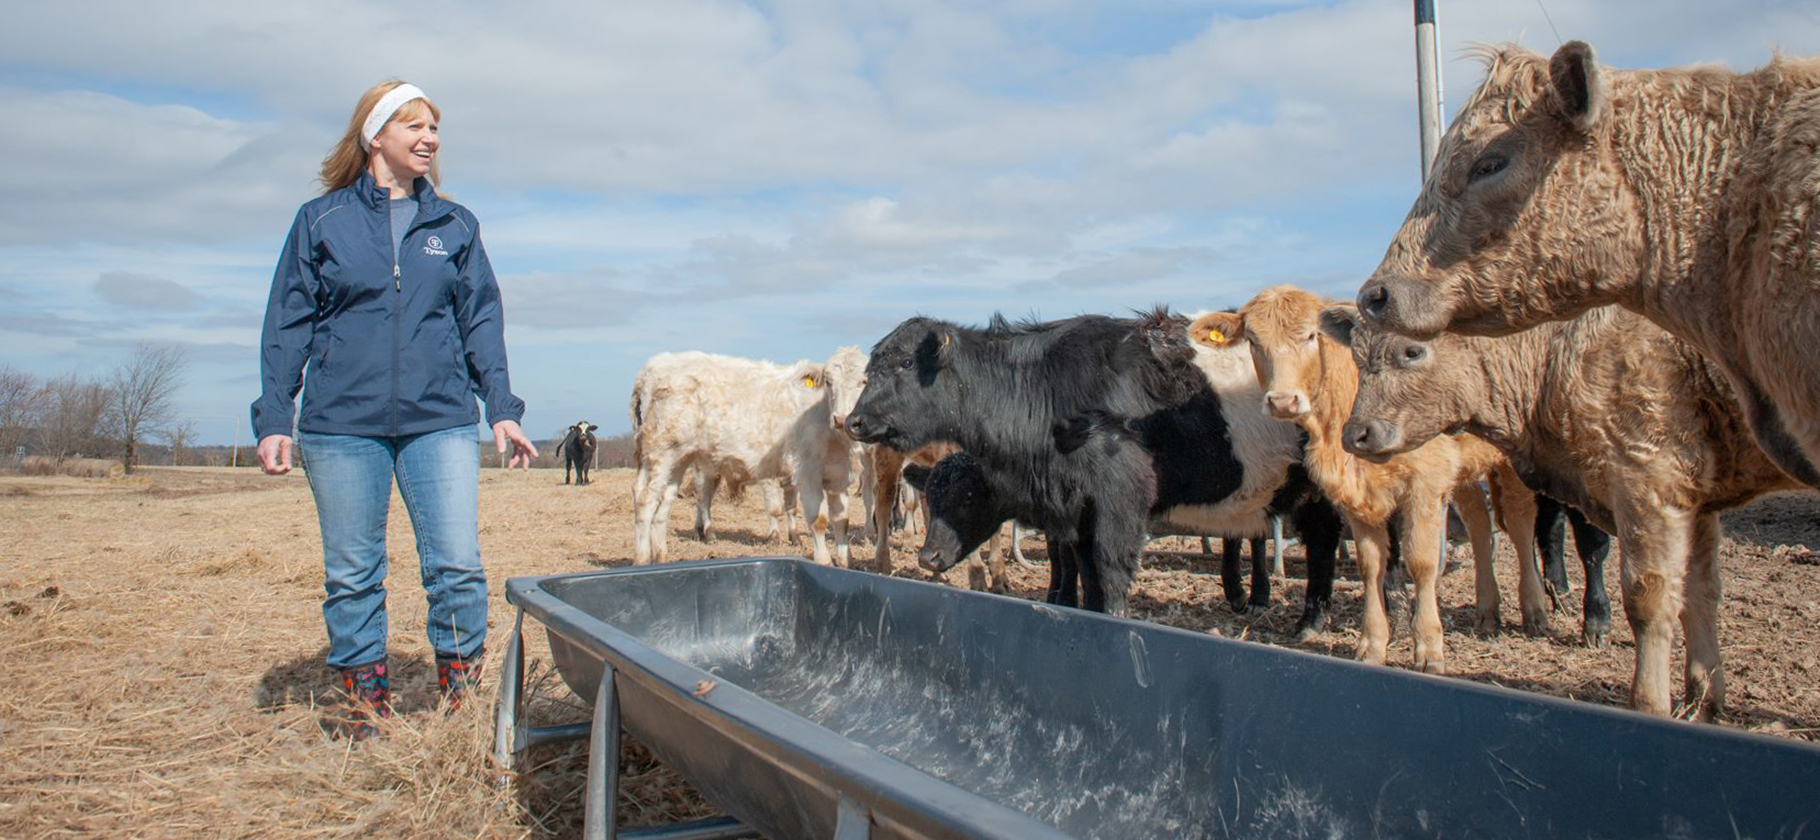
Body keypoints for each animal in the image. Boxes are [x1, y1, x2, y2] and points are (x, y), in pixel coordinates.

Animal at [626, 343, 866, 567]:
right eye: (828, 381)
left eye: (864, 382)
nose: (840, 419)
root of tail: (652, 366)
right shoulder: (806, 470)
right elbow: (819, 521)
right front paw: (824, 561)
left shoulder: (839, 475)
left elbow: (842, 520)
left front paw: (845, 563)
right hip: (659, 451)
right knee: (646, 498)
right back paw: (642, 559)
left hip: (679, 458)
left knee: (663, 503)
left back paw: (661, 557)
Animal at [844, 307, 1346, 621]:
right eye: (870, 369)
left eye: (907, 363)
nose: (853, 421)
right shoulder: (1076, 509)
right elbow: (1085, 571)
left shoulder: (1119, 498)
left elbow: (1110, 569)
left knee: (1321, 545)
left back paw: (1308, 620)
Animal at [1201, 285, 1543, 672]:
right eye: (1253, 340)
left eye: (1311, 336)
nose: (1283, 401)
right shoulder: (1359, 495)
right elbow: (1370, 564)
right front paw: (1373, 643)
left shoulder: (1425, 483)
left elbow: (1421, 562)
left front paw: (1428, 648)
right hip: (1465, 471)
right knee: (1479, 524)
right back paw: (1487, 611)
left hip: (1514, 460)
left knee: (1519, 521)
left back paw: (1535, 610)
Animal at [1332, 305, 1798, 720]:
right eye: (1356, 355)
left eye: (1412, 350)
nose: (1355, 434)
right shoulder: (1695, 500)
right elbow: (1699, 594)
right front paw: (1703, 699)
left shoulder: (1644, 481)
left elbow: (1644, 595)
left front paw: (1645, 697)